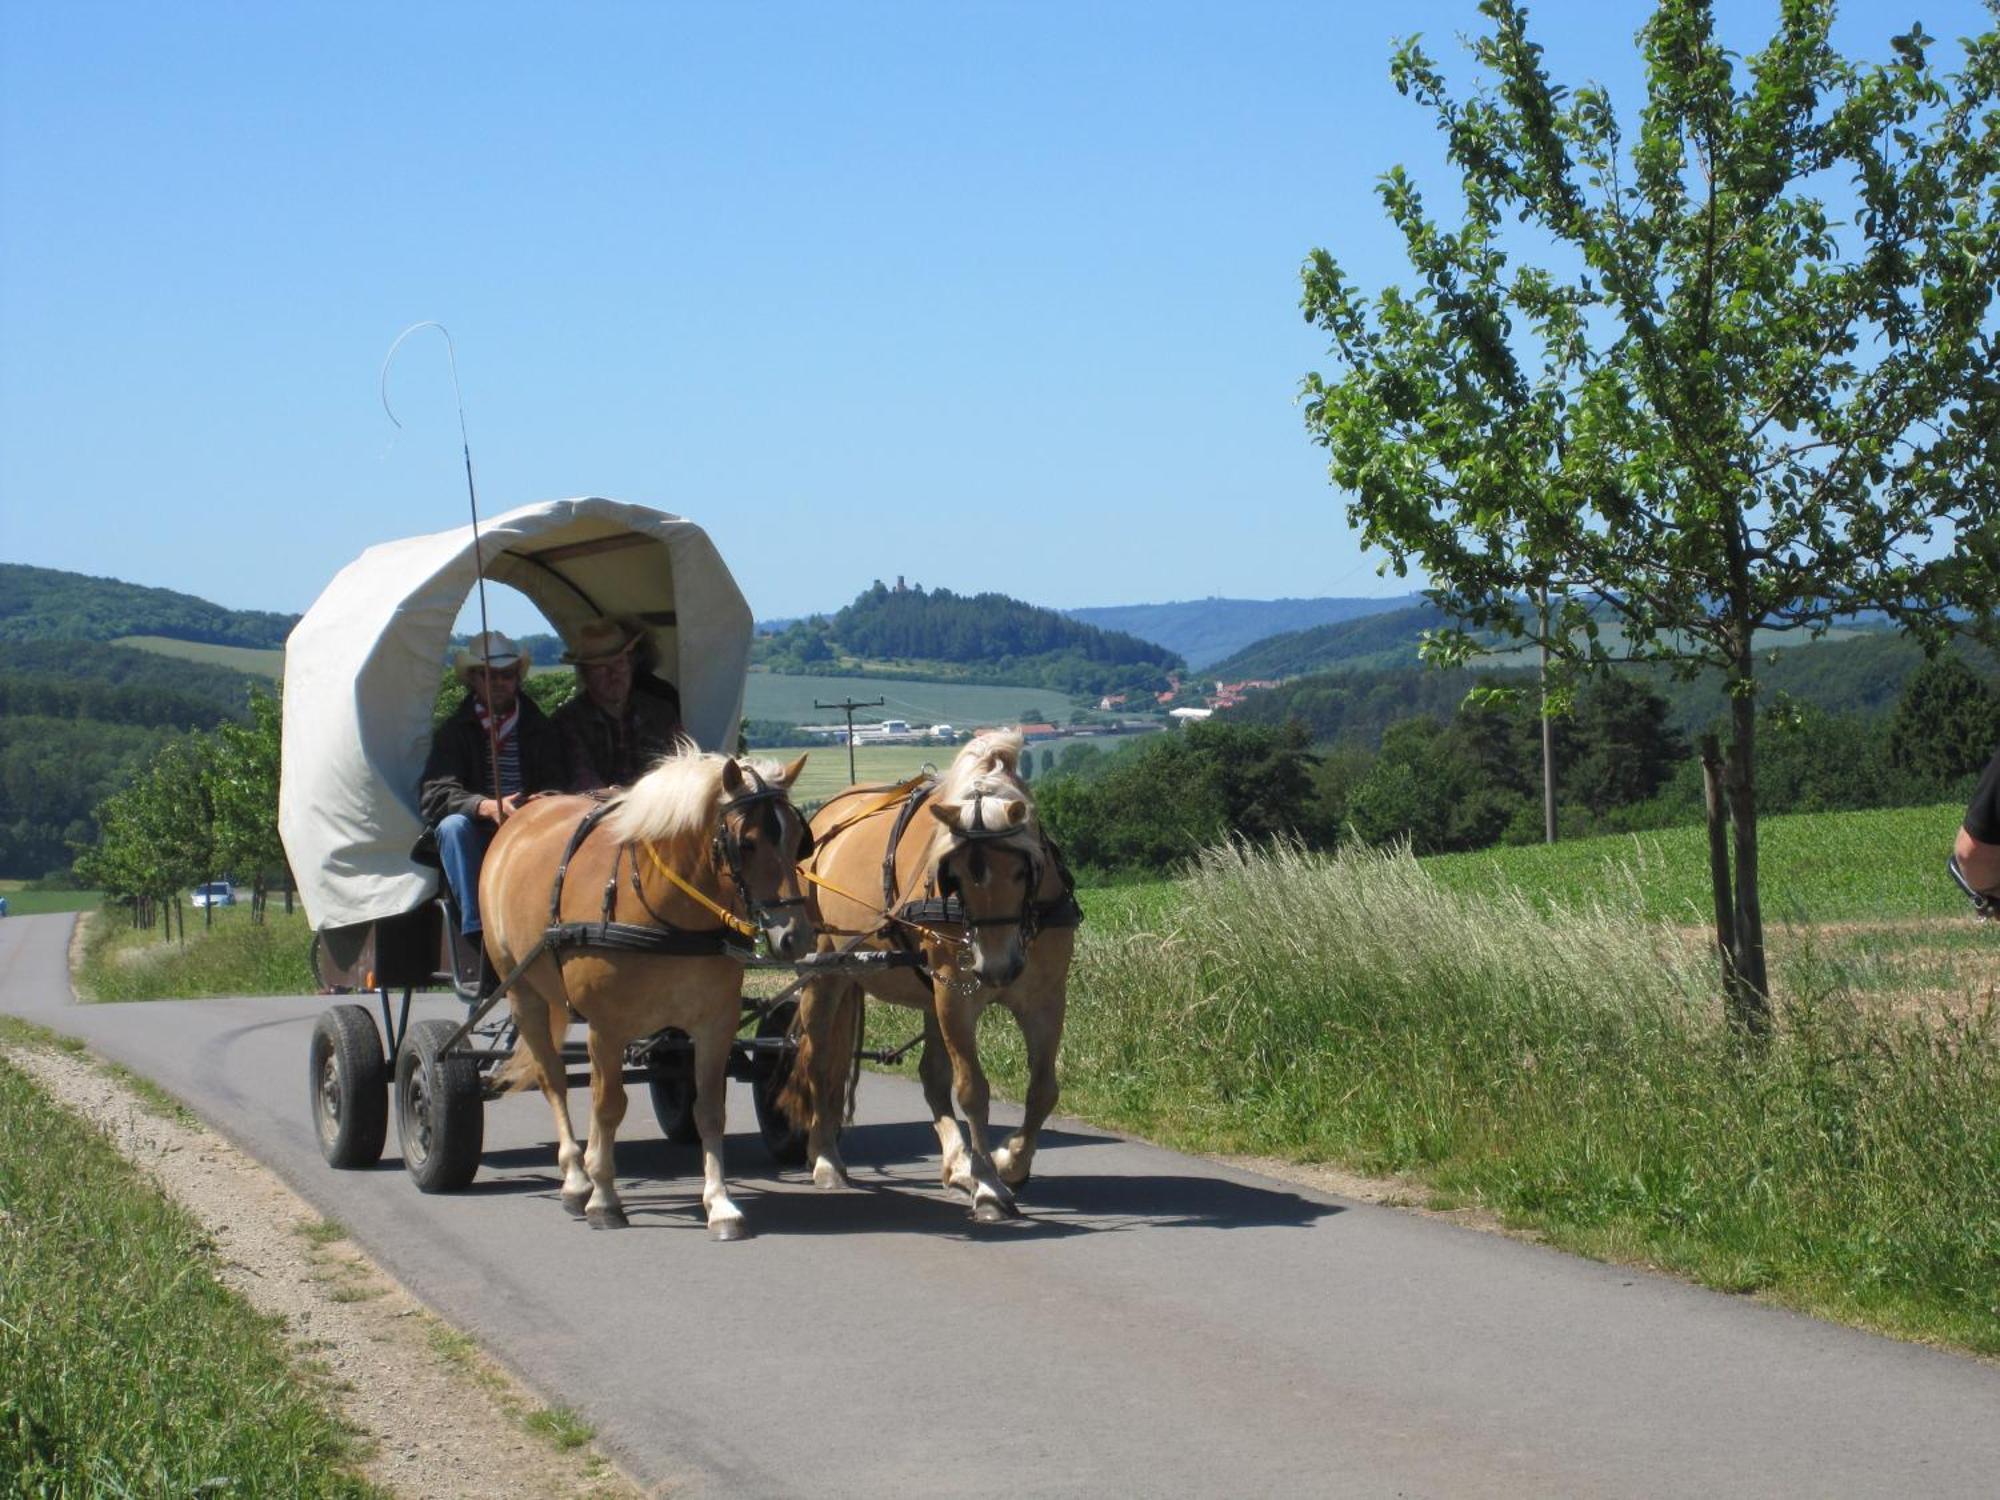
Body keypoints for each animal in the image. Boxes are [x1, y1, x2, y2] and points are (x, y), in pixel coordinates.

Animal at [484, 756, 812, 1240]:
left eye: (796, 840)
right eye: (747, 843)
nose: (795, 937)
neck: (664, 909)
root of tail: (524, 814)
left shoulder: (714, 1024)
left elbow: (709, 1110)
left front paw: (720, 1204)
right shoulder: (607, 1027)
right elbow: (608, 1107)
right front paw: (603, 1198)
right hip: (525, 995)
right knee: (555, 1081)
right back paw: (576, 1178)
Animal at [784, 736, 1088, 1224]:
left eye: (1022, 870)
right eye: (955, 875)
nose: (996, 968)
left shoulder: (1045, 1000)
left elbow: (1043, 1090)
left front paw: (1010, 1163)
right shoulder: (954, 997)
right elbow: (973, 1090)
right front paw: (990, 1187)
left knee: (929, 1075)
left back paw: (958, 1164)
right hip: (824, 975)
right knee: (818, 1059)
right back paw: (826, 1157)